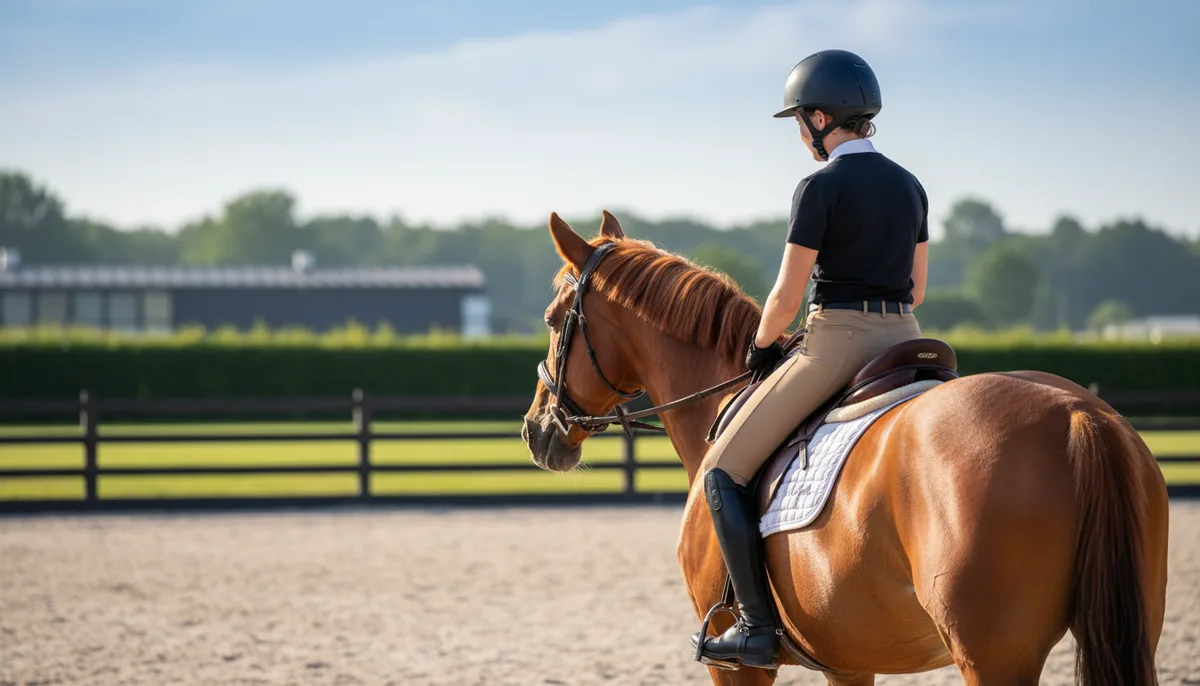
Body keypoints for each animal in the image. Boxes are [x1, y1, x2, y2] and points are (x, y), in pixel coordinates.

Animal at [521, 211, 1170, 686]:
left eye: (553, 320)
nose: (535, 430)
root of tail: (1078, 415)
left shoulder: (736, 671)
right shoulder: (850, 661)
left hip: (993, 657)